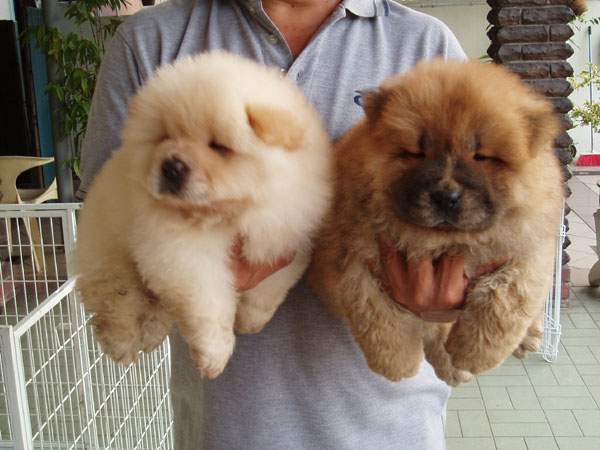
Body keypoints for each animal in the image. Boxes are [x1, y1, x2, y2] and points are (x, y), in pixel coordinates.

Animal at [75, 51, 332, 378]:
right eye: (164, 137)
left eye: (219, 147)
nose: (171, 166)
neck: (226, 213)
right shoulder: (183, 254)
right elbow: (208, 304)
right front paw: (215, 355)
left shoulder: (287, 233)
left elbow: (271, 286)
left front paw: (251, 321)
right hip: (107, 253)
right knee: (116, 301)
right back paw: (122, 343)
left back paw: (152, 333)